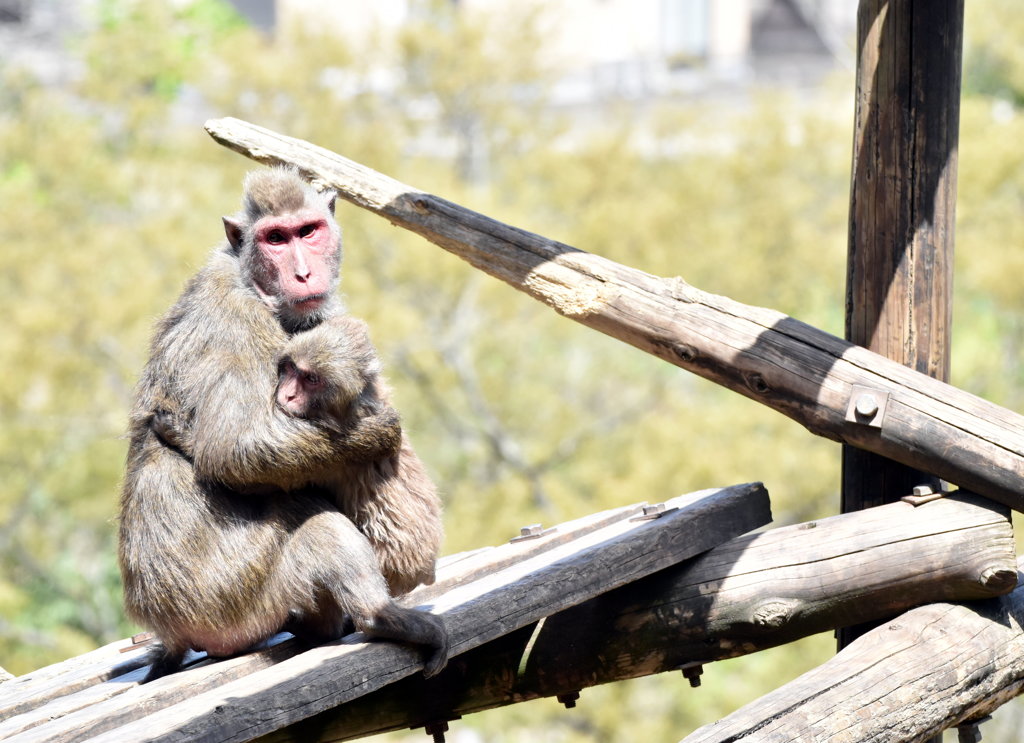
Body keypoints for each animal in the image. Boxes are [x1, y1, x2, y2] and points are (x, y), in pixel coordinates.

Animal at [117, 167, 446, 679]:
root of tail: (170, 631)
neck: (250, 281)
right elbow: (236, 450)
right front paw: (380, 433)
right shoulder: (230, 320)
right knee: (311, 519)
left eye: (308, 231)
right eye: (275, 239)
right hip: (230, 599)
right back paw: (378, 616)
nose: (303, 273)